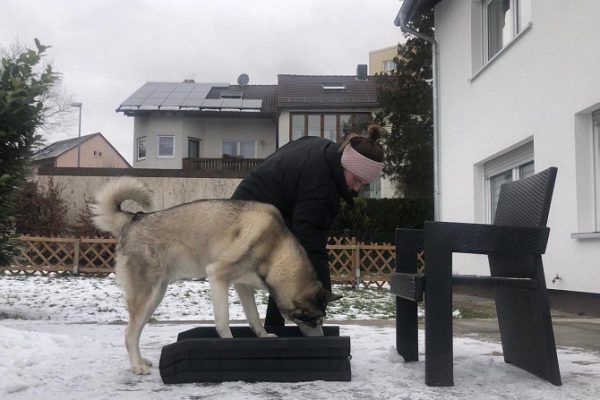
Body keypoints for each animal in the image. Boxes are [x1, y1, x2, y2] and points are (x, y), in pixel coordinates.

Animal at [91, 178, 340, 376]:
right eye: (313, 320)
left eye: (320, 321)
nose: (321, 340)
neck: (275, 249)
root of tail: (134, 218)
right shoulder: (217, 277)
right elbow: (223, 320)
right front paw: (228, 344)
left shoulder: (242, 285)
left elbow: (254, 317)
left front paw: (263, 335)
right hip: (148, 296)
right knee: (129, 333)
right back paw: (137, 366)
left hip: (156, 296)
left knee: (136, 330)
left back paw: (141, 360)